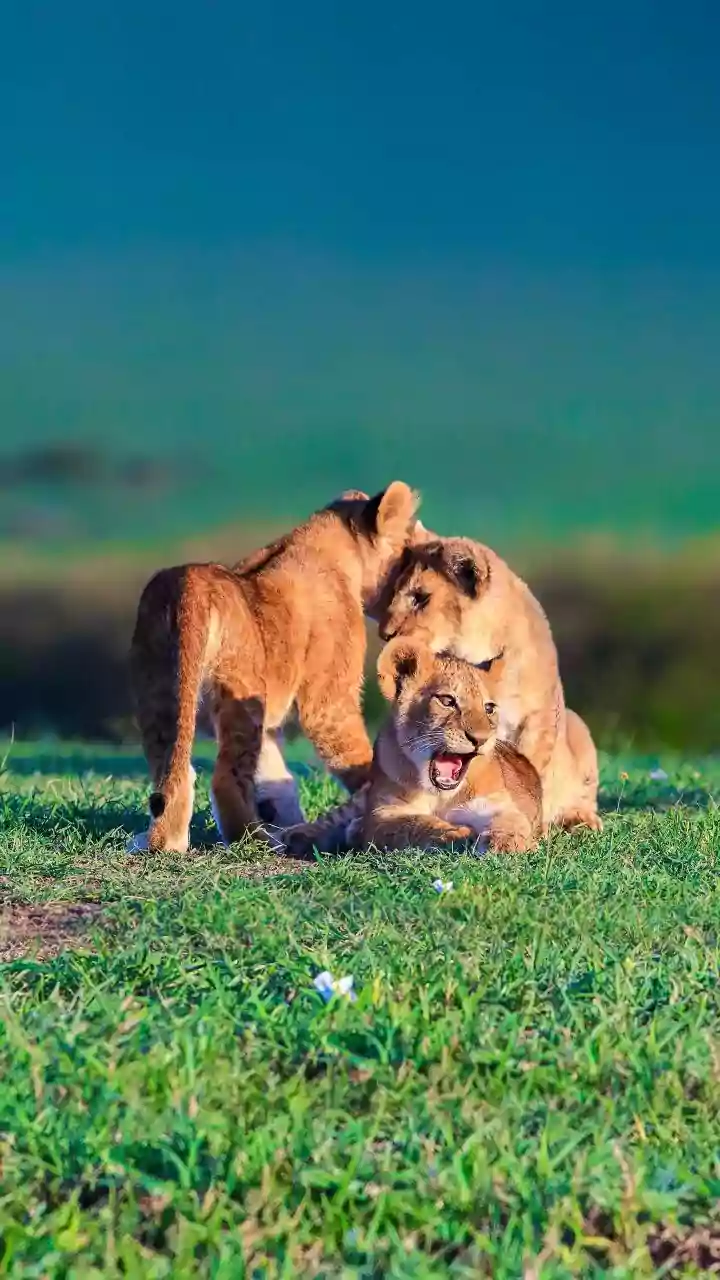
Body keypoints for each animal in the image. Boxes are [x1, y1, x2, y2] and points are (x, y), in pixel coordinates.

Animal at [128, 482, 420, 854]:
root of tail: (188, 583)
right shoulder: (329, 703)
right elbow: (358, 757)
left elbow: (275, 777)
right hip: (240, 692)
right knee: (225, 778)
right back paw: (254, 841)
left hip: (159, 691)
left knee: (171, 770)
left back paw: (164, 843)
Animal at [280, 638, 543, 858]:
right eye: (447, 701)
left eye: (489, 708)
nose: (480, 739)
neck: (440, 796)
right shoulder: (384, 814)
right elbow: (416, 825)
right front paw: (458, 834)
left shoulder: (498, 804)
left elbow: (511, 821)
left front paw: (506, 844)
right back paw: (295, 835)